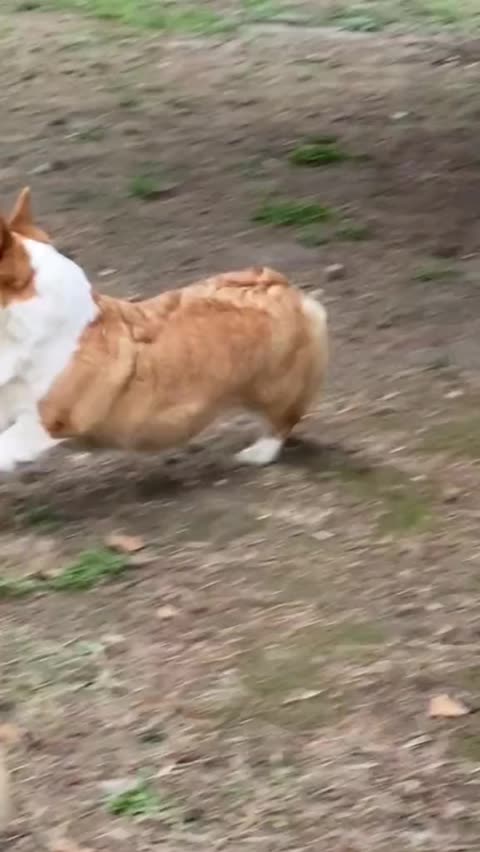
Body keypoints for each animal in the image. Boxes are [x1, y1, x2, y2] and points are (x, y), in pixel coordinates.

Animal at [0, 188, 328, 473]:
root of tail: (276, 284)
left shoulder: (45, 420)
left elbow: (7, 445)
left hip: (274, 387)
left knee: (283, 420)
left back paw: (258, 453)